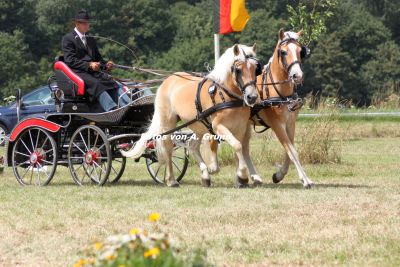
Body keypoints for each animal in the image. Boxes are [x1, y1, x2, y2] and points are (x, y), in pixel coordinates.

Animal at [122, 44, 260, 187]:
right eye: (238, 70)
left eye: (256, 69)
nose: (252, 97)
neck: (226, 95)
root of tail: (168, 80)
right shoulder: (218, 127)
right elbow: (238, 146)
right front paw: (242, 175)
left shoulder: (240, 128)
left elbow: (239, 149)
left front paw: (240, 178)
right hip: (168, 123)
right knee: (168, 147)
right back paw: (171, 180)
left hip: (198, 125)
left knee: (193, 146)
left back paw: (205, 176)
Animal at [206, 29, 316, 188]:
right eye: (283, 52)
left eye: (300, 51)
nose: (297, 75)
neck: (279, 90)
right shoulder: (277, 124)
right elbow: (292, 151)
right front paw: (306, 180)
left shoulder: (290, 123)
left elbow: (290, 151)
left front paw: (279, 175)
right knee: (215, 140)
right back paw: (214, 168)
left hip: (244, 125)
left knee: (244, 148)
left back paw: (253, 176)